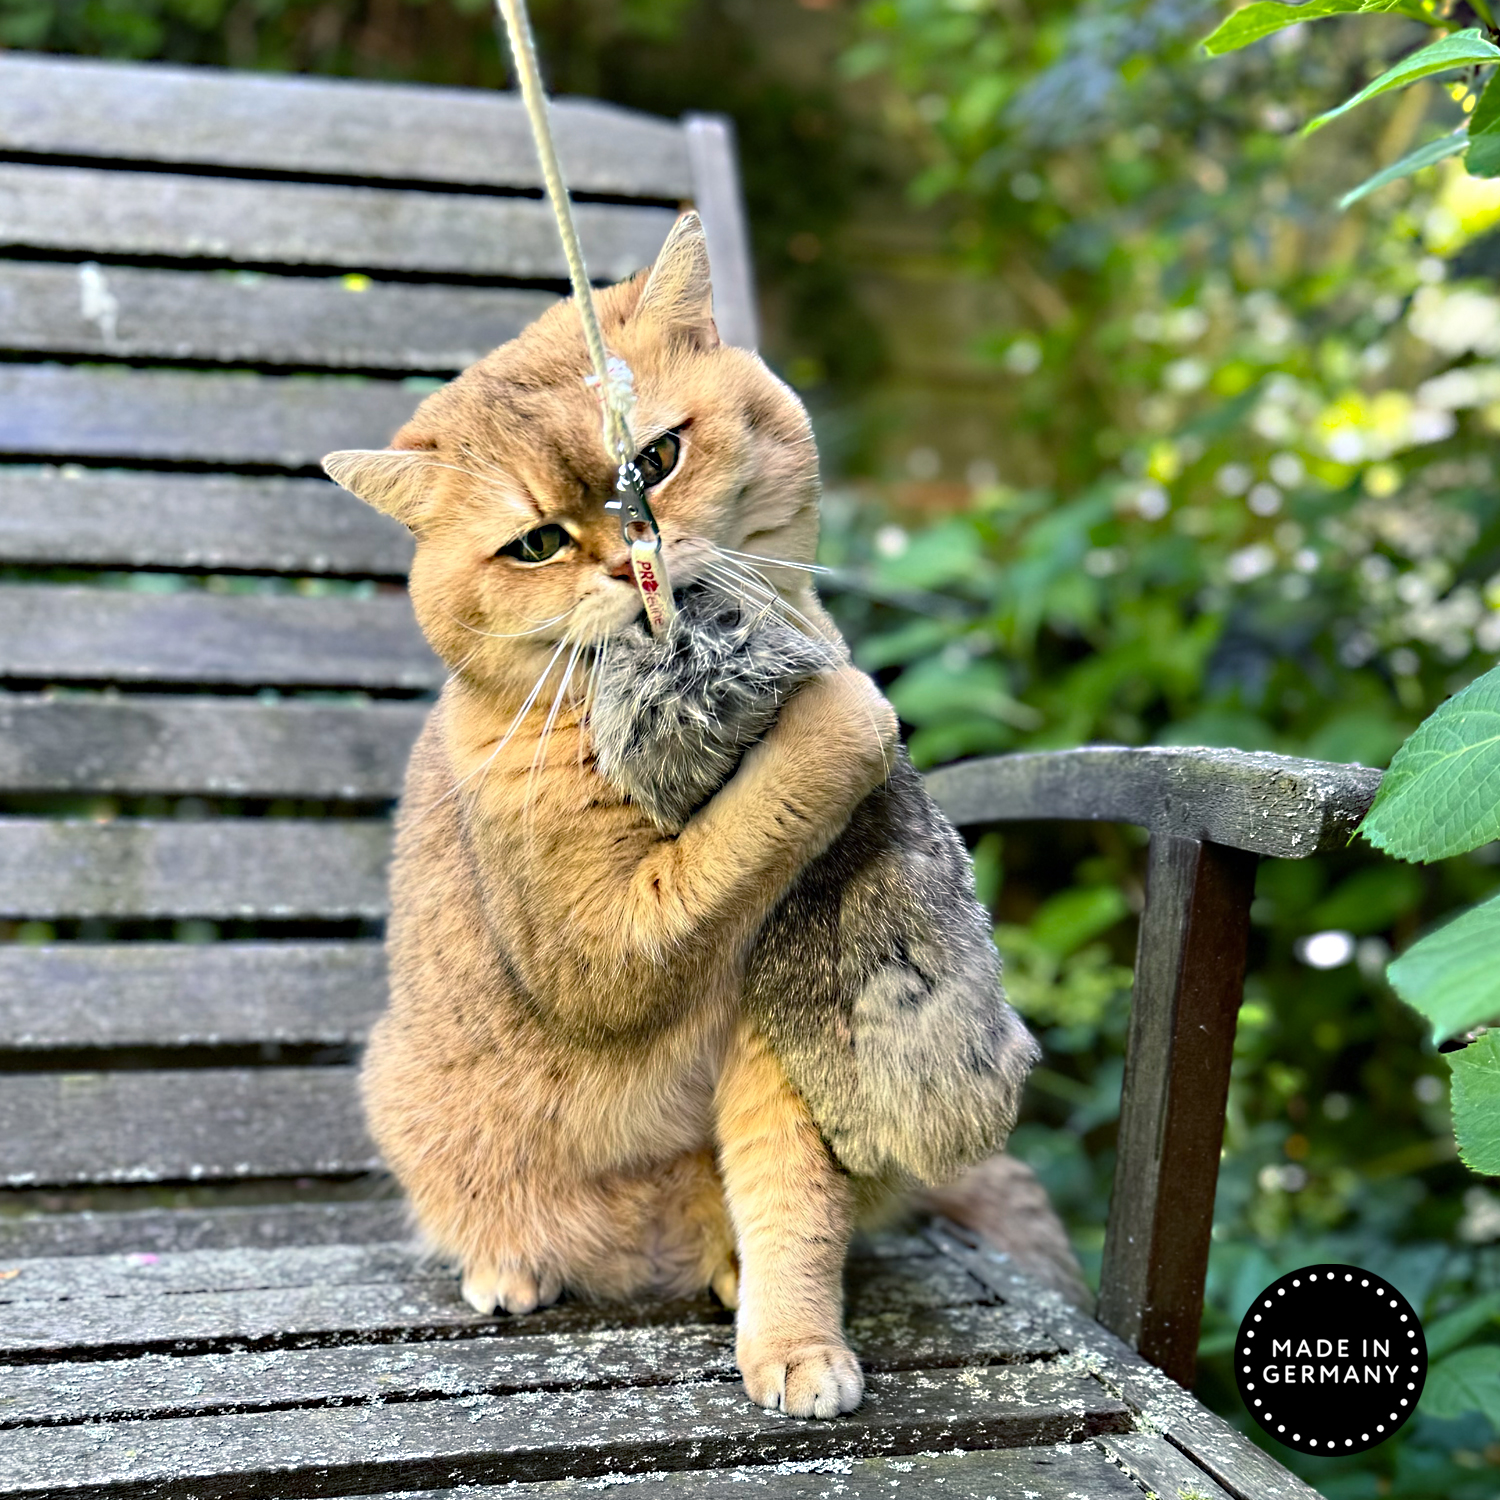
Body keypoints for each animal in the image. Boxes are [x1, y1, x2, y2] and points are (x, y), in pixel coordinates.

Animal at [322, 208, 1086, 1416]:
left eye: (654, 460)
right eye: (537, 543)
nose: (630, 564)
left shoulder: (768, 1016)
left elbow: (792, 1197)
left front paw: (794, 1344)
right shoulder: (604, 947)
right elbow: (817, 746)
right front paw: (837, 703)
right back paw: (511, 1266)